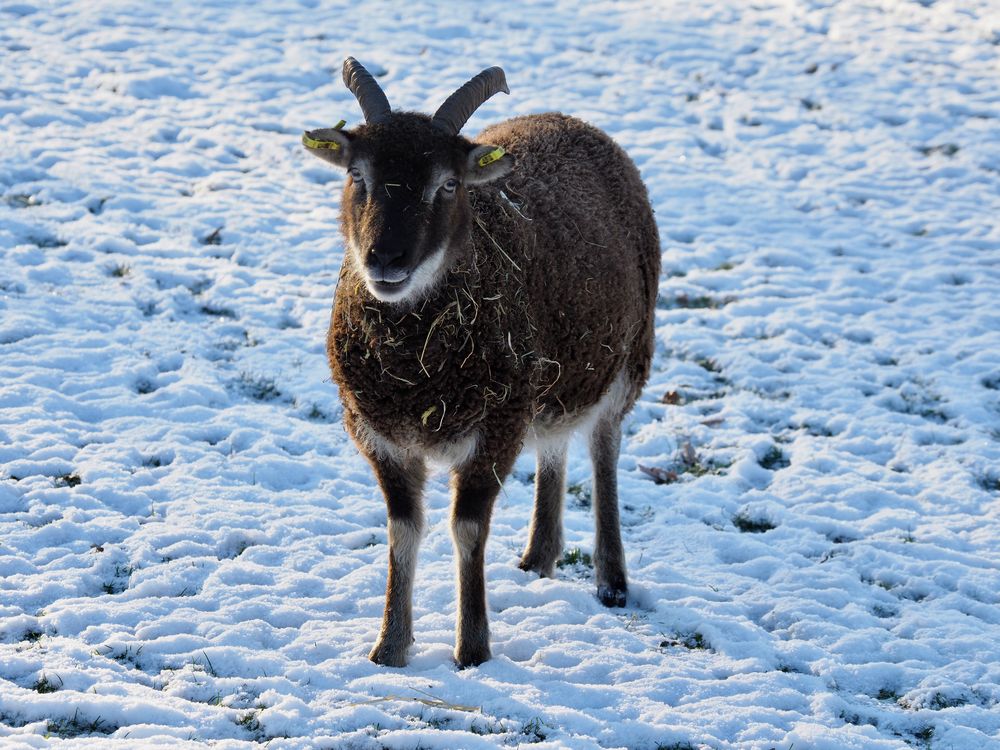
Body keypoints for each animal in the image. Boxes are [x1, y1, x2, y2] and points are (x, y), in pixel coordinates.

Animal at [302, 60, 664, 668]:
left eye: (447, 184)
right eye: (357, 175)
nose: (386, 260)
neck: (417, 375)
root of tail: (566, 119)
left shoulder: (494, 428)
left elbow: (468, 529)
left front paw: (472, 647)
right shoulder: (380, 434)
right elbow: (403, 530)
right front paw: (389, 645)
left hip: (626, 358)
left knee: (604, 447)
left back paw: (612, 580)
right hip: (546, 382)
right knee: (553, 444)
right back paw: (539, 554)